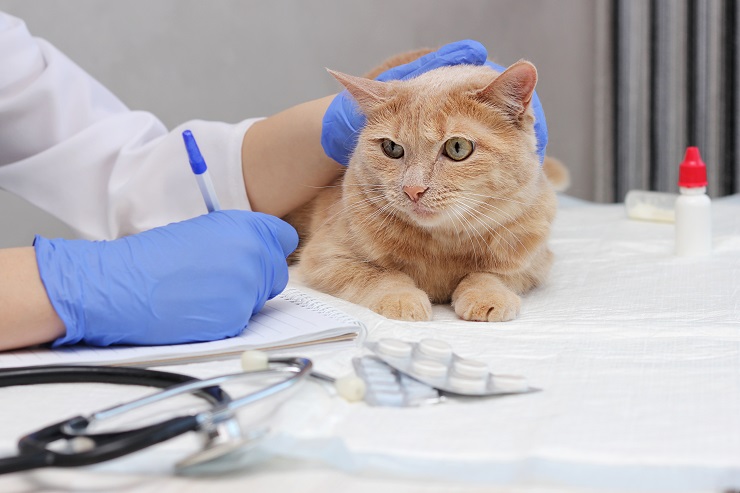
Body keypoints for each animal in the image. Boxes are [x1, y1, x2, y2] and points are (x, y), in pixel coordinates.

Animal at [286, 52, 556, 322]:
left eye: (457, 147)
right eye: (391, 148)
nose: (413, 189)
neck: (443, 245)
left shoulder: (534, 263)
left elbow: (489, 274)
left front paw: (487, 294)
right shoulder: (325, 256)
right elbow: (380, 274)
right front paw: (401, 298)